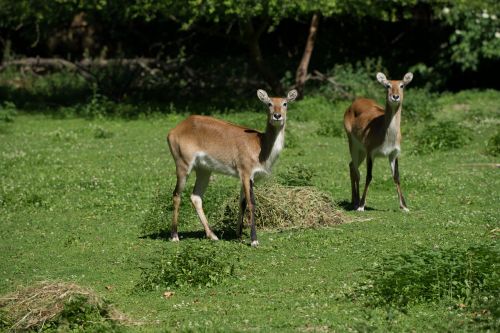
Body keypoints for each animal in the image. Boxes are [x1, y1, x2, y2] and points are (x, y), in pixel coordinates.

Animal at [166, 88, 298, 246]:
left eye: (285, 103)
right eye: (269, 103)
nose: (277, 116)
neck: (260, 146)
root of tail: (175, 130)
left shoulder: (246, 177)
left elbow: (242, 203)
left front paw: (238, 235)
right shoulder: (246, 173)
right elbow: (251, 203)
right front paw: (254, 240)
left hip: (204, 170)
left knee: (196, 197)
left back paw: (212, 235)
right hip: (183, 165)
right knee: (176, 194)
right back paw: (174, 236)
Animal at [344, 71, 414, 211]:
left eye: (402, 85)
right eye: (387, 85)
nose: (395, 96)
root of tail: (355, 102)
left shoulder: (393, 154)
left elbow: (396, 176)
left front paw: (404, 206)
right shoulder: (371, 153)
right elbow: (369, 176)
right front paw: (361, 206)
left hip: (361, 151)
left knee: (351, 166)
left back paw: (354, 200)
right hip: (353, 145)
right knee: (356, 170)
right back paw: (356, 202)